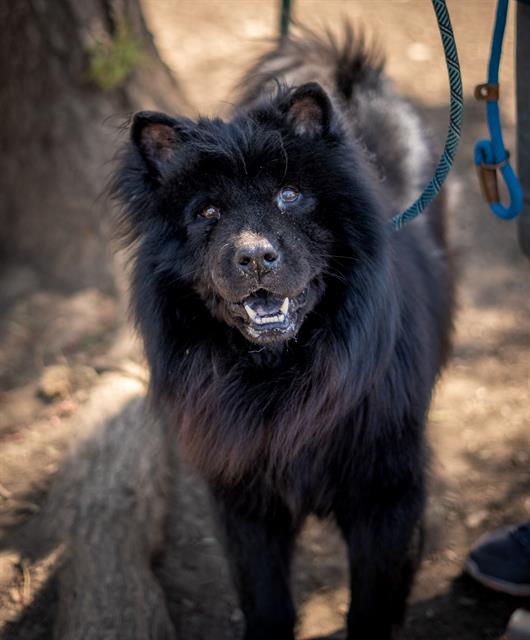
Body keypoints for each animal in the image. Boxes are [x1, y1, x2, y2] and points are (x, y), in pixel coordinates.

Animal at [111, 27, 450, 636]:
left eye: (288, 196)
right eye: (208, 211)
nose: (254, 256)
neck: (282, 376)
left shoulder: (387, 496)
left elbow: (372, 602)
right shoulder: (247, 502)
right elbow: (265, 600)